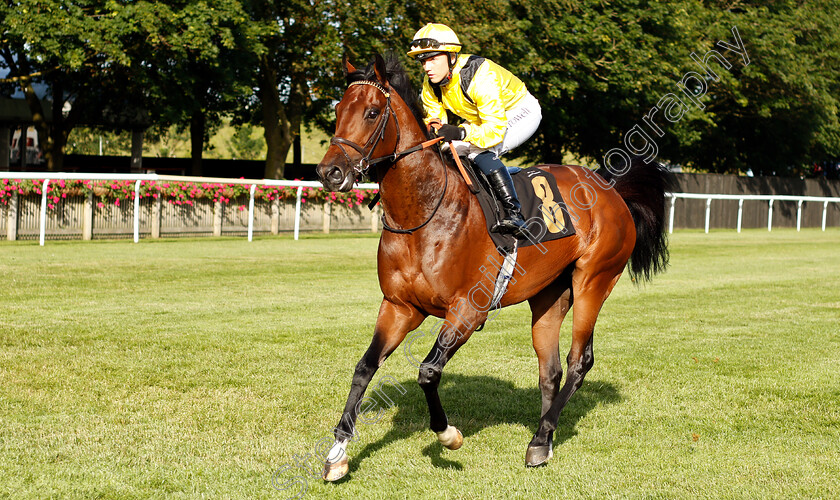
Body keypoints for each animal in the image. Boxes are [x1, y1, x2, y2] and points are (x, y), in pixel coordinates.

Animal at [316, 54, 668, 480]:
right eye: (338, 110)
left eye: (371, 112)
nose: (329, 173)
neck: (424, 212)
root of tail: (612, 190)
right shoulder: (399, 307)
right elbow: (365, 367)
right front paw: (337, 453)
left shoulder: (468, 309)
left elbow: (428, 372)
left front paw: (448, 435)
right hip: (549, 295)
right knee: (550, 370)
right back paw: (544, 440)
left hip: (594, 280)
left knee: (579, 361)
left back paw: (540, 439)